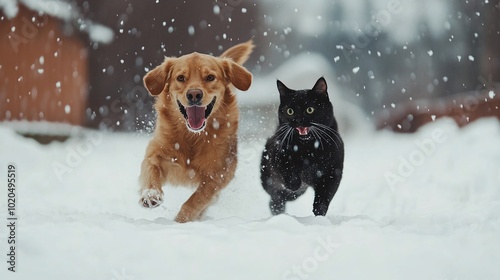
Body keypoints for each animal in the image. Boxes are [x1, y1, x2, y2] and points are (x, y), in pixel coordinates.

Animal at [139, 40, 254, 223]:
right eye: (180, 78)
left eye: (210, 77)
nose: (194, 94)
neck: (192, 137)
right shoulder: (155, 153)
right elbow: (151, 169)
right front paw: (151, 194)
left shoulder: (220, 173)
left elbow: (197, 199)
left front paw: (181, 220)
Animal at [262, 77, 344, 217]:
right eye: (290, 111)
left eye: (310, 109)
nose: (299, 120)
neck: (309, 149)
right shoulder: (279, 156)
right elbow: (290, 172)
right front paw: (295, 182)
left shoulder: (332, 173)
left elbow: (324, 198)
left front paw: (319, 215)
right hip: (269, 180)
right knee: (276, 196)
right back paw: (277, 210)